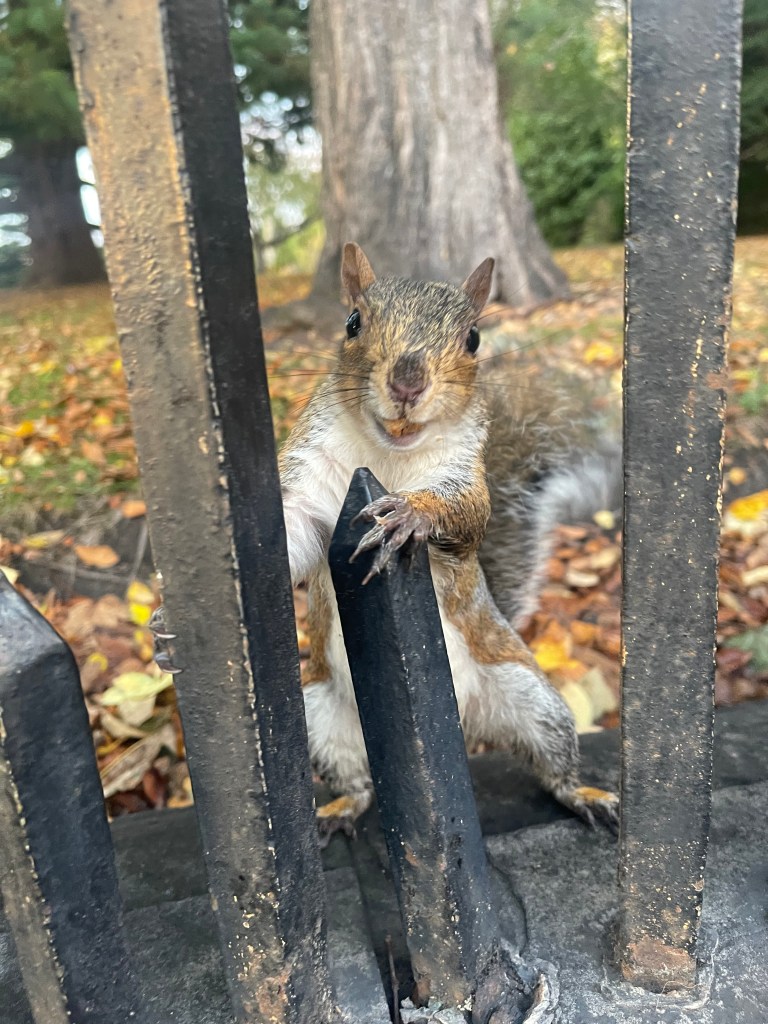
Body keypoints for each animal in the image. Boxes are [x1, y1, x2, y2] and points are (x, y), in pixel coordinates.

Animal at [279, 242, 620, 841]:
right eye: (352, 322)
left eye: (474, 338)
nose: (407, 383)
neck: (389, 454)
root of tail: (458, 728)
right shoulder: (312, 477)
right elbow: (296, 530)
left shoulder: (465, 477)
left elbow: (468, 515)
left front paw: (412, 512)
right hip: (322, 715)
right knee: (357, 783)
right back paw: (340, 809)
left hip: (531, 699)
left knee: (552, 763)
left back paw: (584, 794)